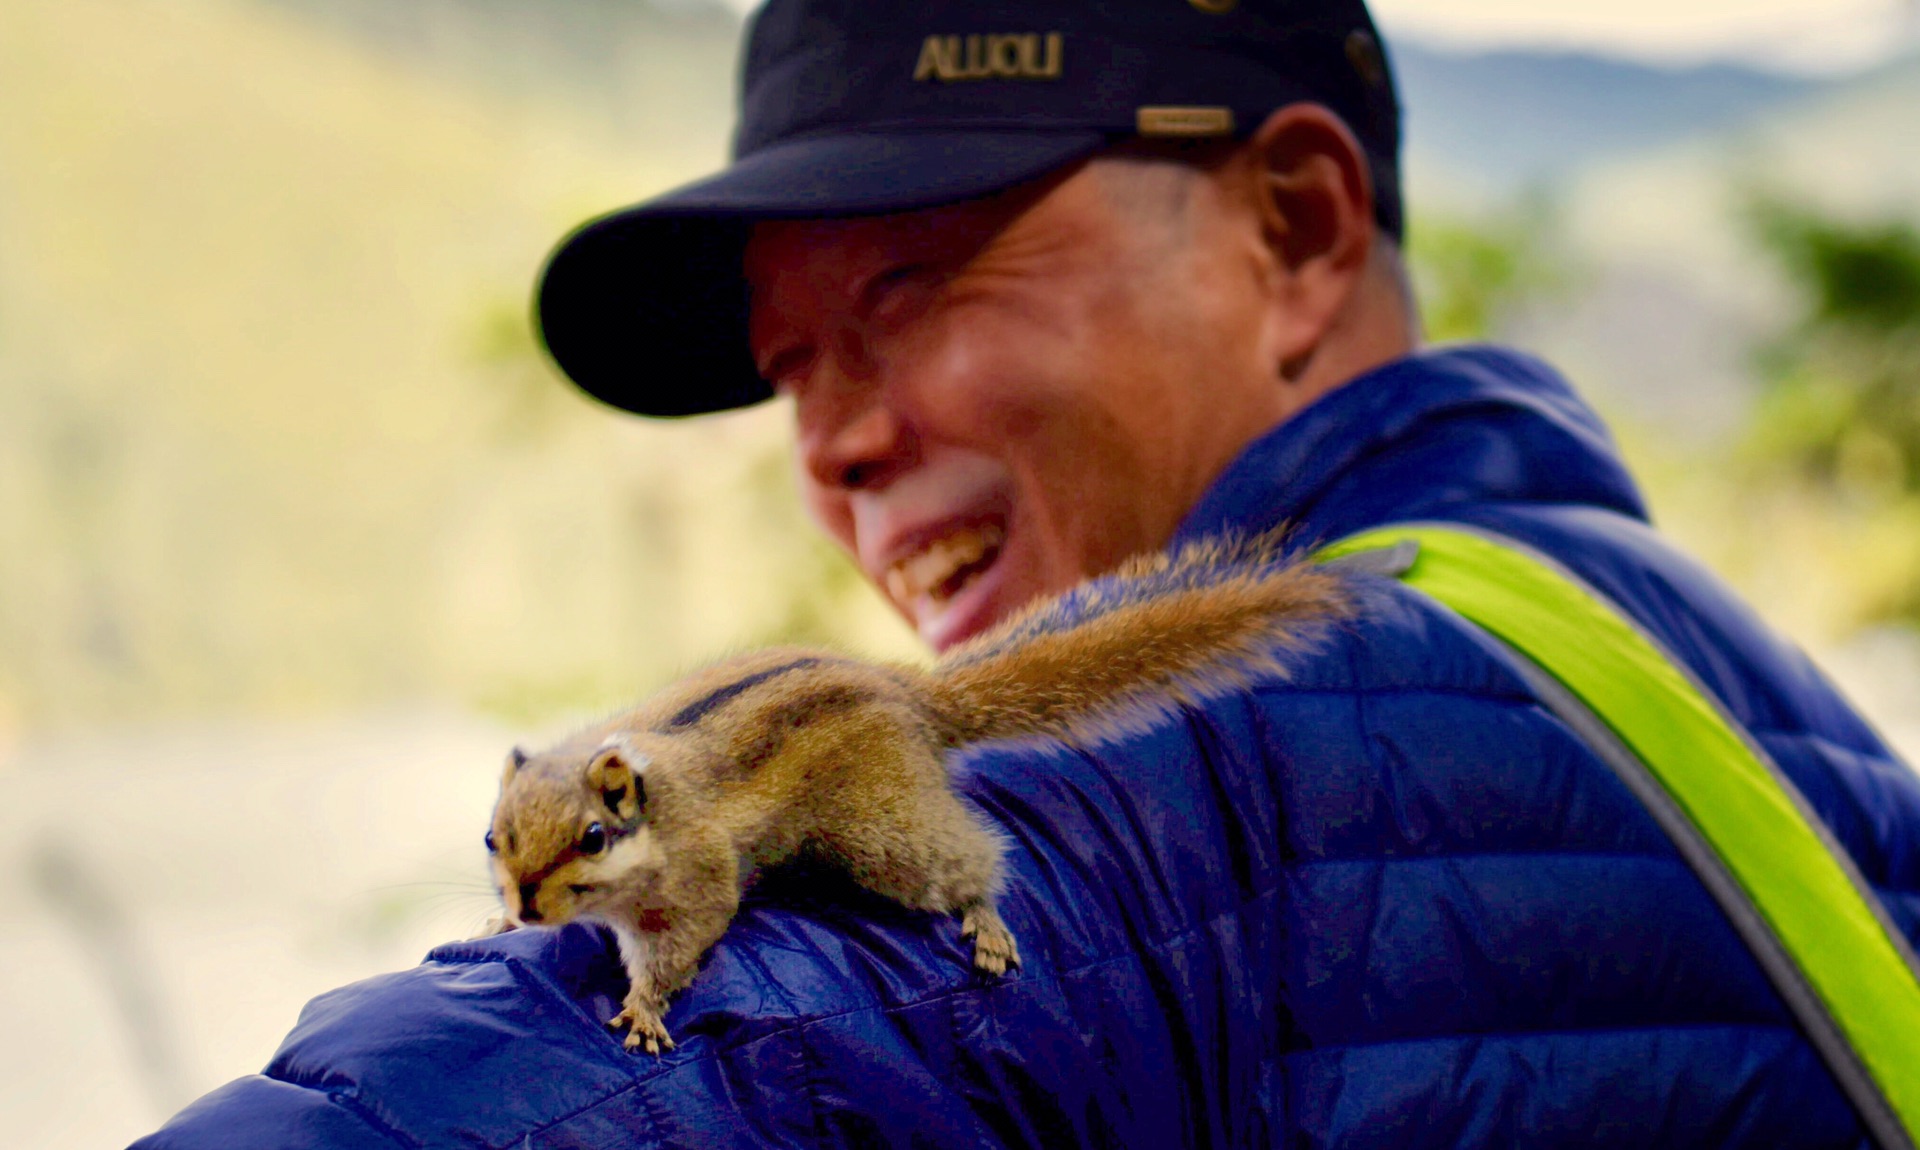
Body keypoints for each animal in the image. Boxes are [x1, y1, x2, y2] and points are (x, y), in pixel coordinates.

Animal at [483, 533, 1351, 1059]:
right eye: (494, 838)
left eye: (594, 838)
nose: (524, 904)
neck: (655, 810)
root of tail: (914, 698)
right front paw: (497, 921)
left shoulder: (697, 876)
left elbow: (681, 944)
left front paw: (644, 1005)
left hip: (885, 834)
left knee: (972, 859)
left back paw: (986, 919)